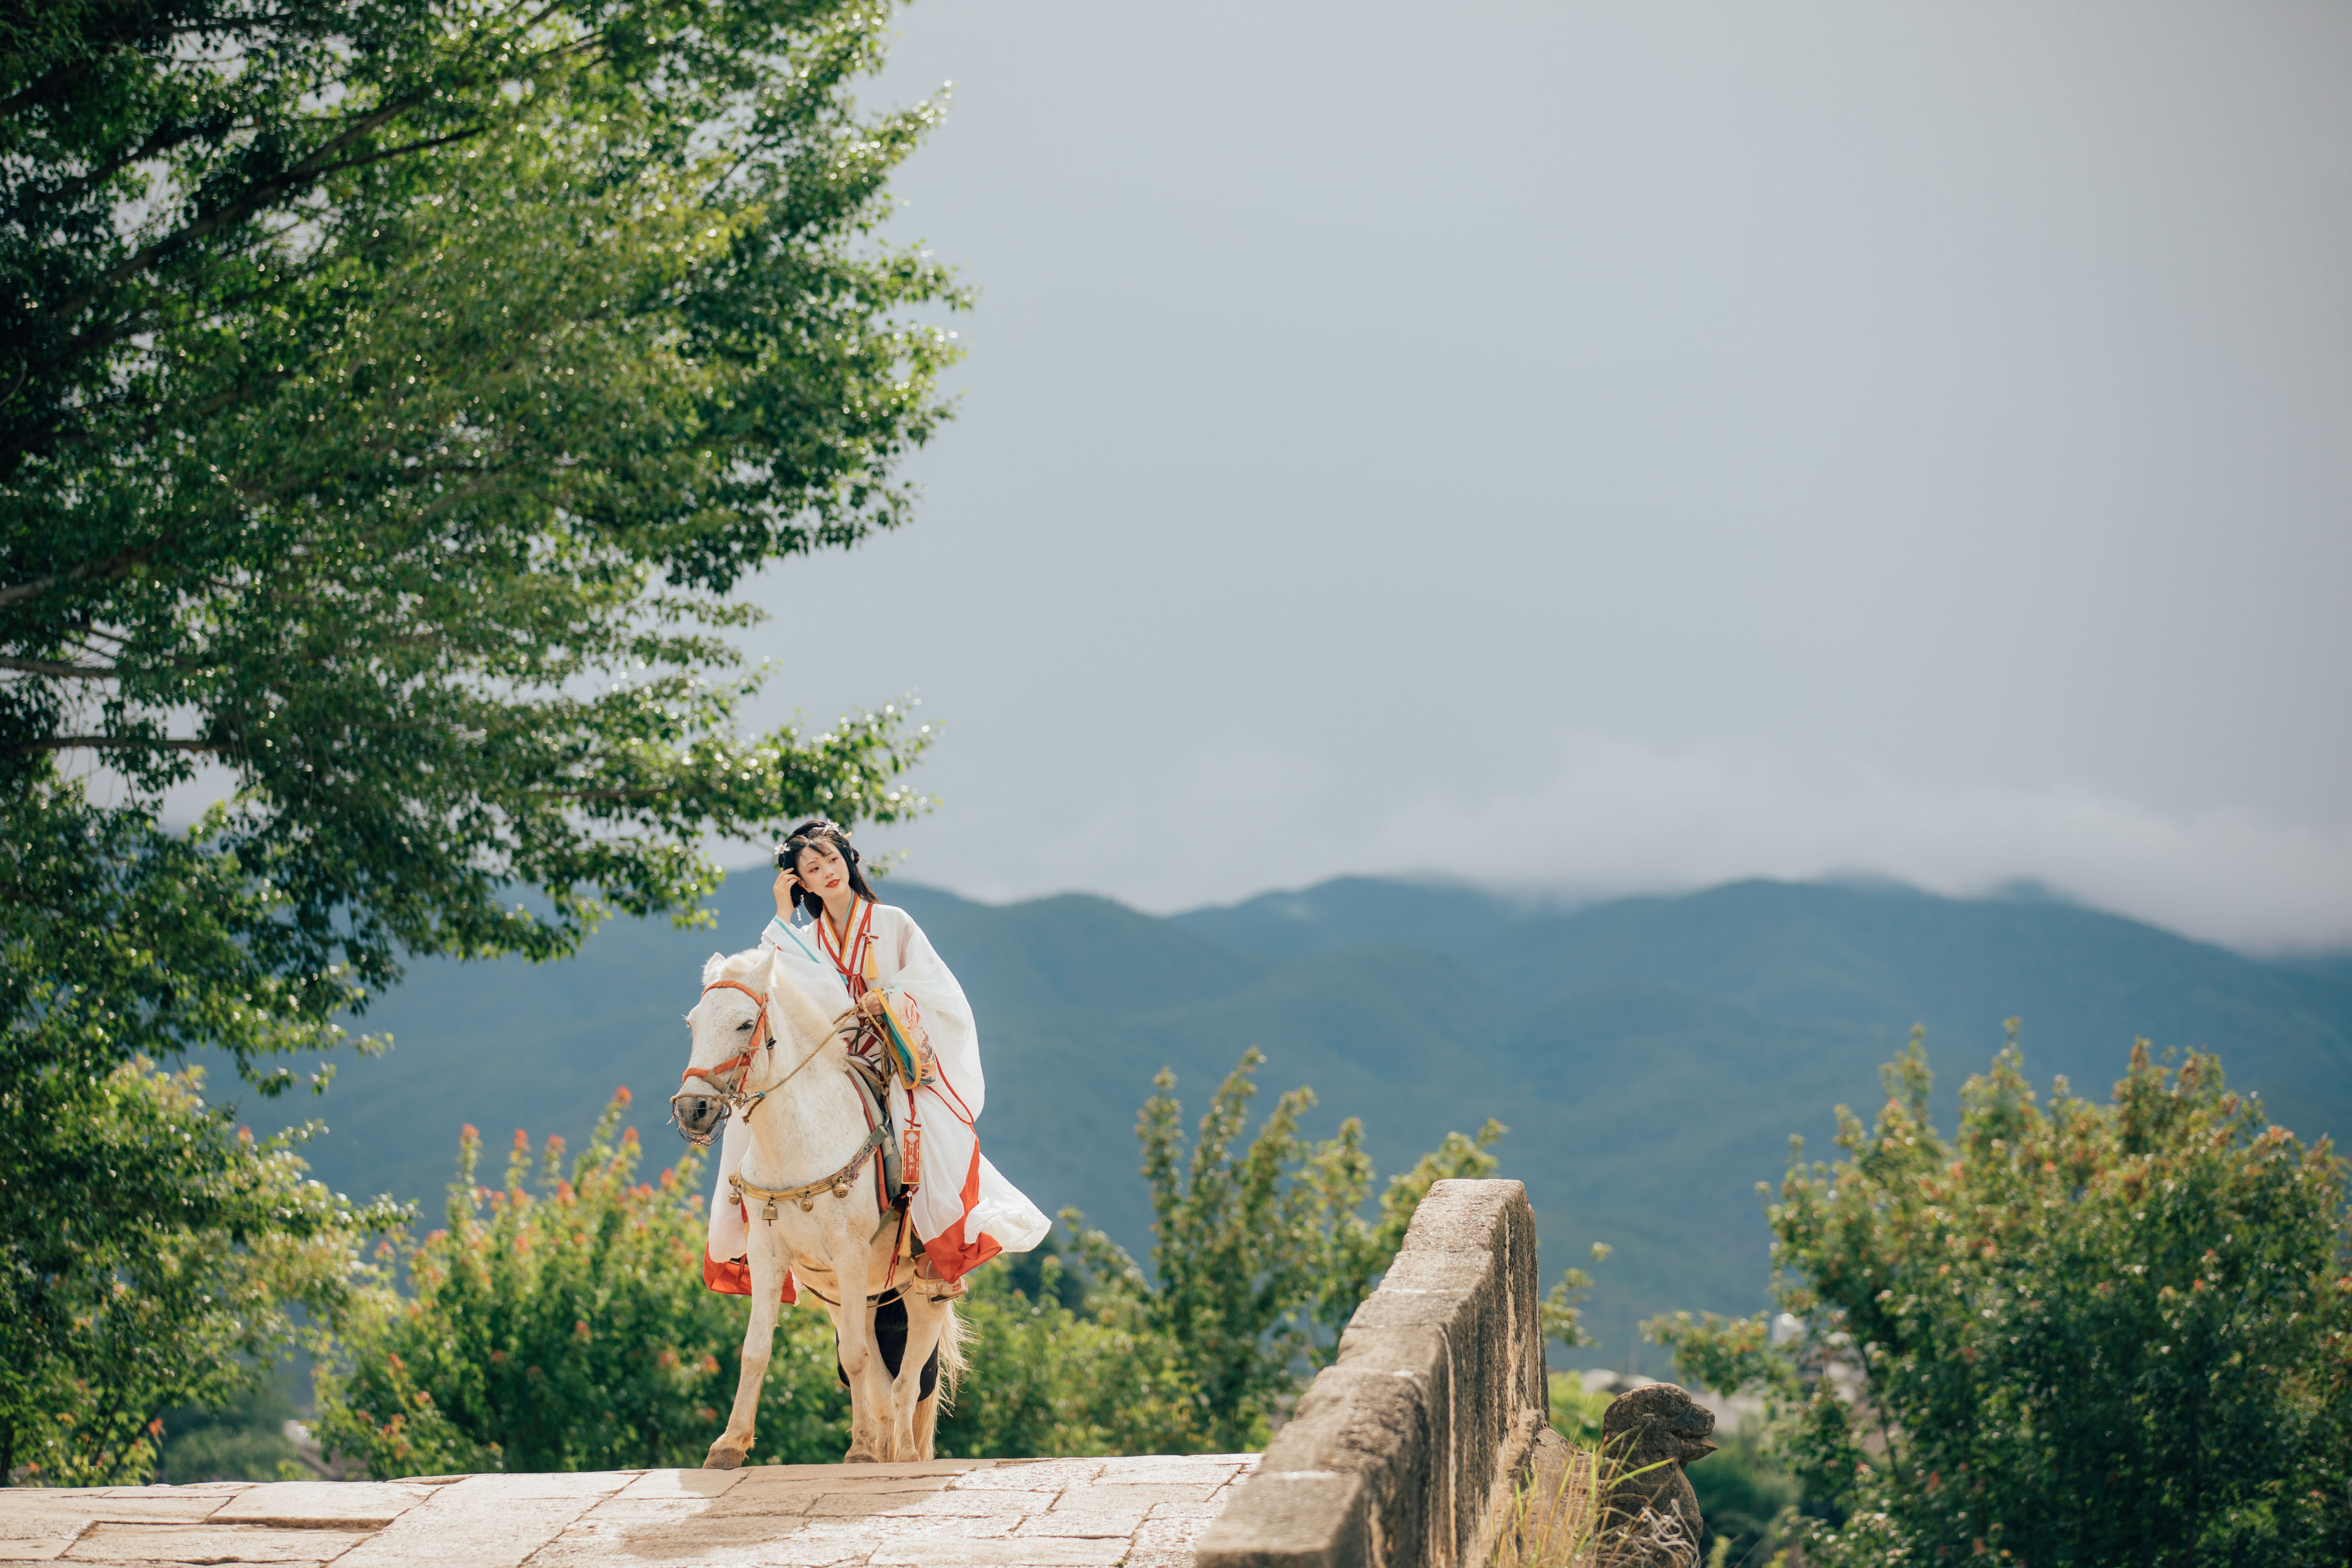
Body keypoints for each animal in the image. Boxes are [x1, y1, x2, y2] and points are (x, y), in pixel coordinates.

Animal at [668, 945, 959, 1476]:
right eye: (694, 1023)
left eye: (745, 1024)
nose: (693, 1108)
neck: (797, 1143)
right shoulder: (767, 1254)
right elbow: (757, 1350)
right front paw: (729, 1446)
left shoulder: (849, 1252)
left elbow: (861, 1360)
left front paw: (860, 1451)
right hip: (856, 1295)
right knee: (880, 1381)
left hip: (921, 1286)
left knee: (908, 1380)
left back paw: (903, 1455)